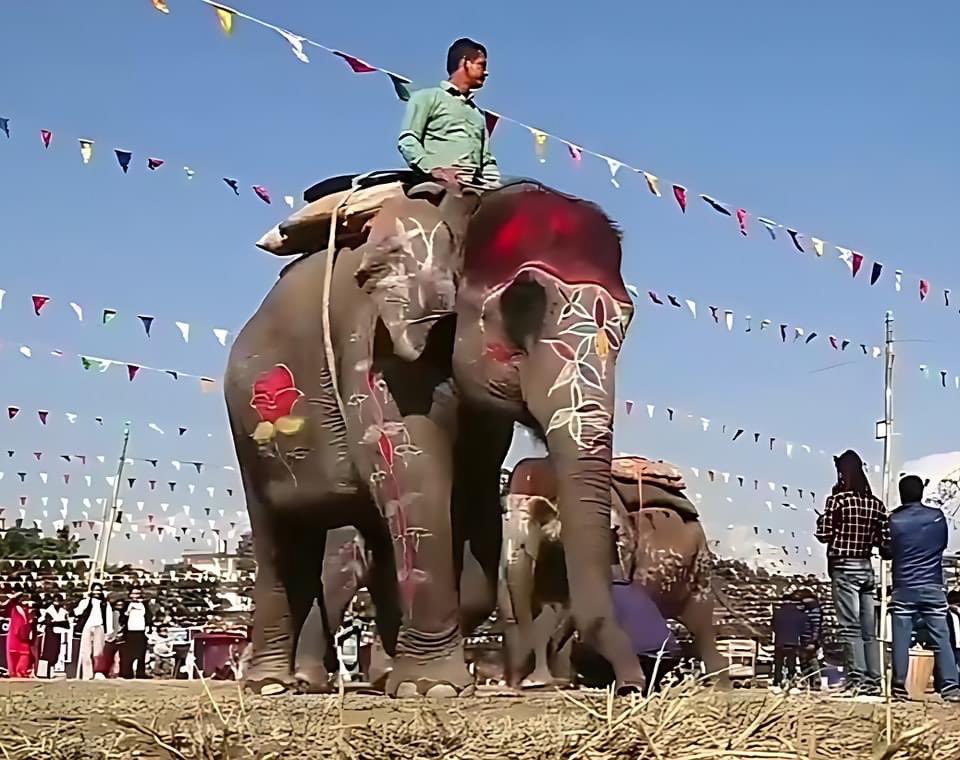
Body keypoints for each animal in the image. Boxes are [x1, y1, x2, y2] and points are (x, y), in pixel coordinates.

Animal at [225, 175, 645, 696]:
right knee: (282, 537)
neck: (463, 209)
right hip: (247, 422)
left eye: (628, 320)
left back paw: (374, 676)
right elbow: (415, 473)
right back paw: (274, 684)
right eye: (520, 305)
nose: (631, 685)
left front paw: (420, 680)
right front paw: (433, 688)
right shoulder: (372, 345)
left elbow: (472, 496)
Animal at [502, 455, 728, 689]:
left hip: (699, 566)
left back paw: (718, 685)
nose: (517, 681)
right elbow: (555, 603)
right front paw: (552, 681)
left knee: (700, 622)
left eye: (543, 514)